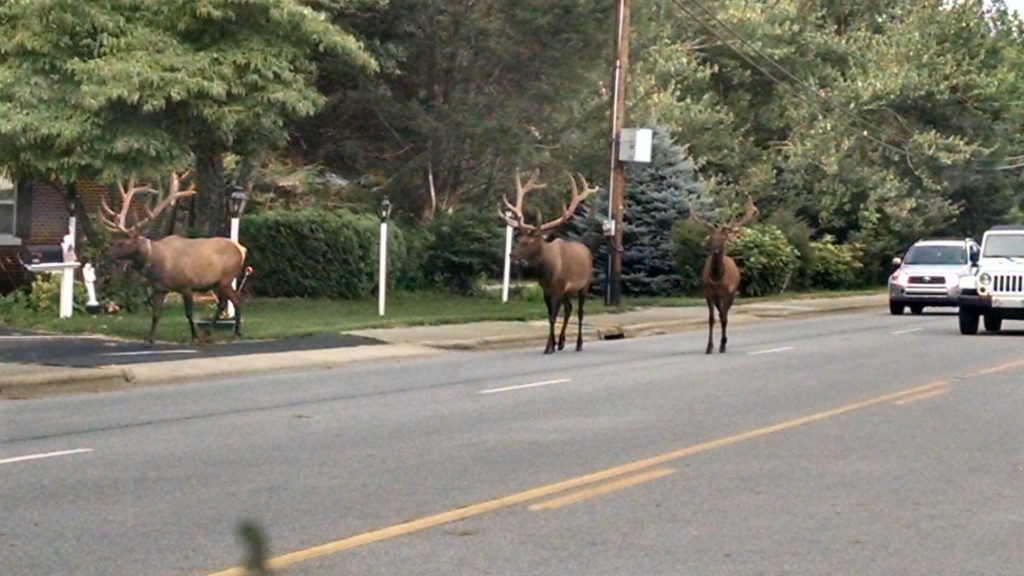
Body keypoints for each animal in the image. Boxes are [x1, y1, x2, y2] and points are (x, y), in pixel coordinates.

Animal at [101, 172, 250, 344]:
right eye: (114, 239)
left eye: (123, 242)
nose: (106, 253)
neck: (157, 265)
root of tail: (242, 249)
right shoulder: (159, 289)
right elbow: (156, 314)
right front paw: (150, 338)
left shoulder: (186, 285)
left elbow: (189, 314)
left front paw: (195, 336)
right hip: (216, 283)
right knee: (224, 303)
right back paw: (210, 332)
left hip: (226, 278)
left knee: (235, 301)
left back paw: (235, 332)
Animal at [500, 169, 597, 354]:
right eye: (520, 238)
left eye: (532, 241)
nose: (512, 255)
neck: (548, 271)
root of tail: (587, 251)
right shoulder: (547, 290)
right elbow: (550, 315)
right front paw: (552, 344)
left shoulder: (558, 288)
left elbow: (552, 317)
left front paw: (548, 347)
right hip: (567, 292)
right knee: (569, 309)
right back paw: (562, 342)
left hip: (584, 285)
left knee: (580, 311)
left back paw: (579, 344)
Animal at [690, 196, 758, 354]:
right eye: (711, 239)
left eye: (722, 239)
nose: (715, 250)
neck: (716, 277)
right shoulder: (708, 293)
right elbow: (711, 319)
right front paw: (709, 347)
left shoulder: (727, 293)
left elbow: (724, 318)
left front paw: (722, 345)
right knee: (720, 313)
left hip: (733, 294)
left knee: (725, 315)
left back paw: (724, 341)